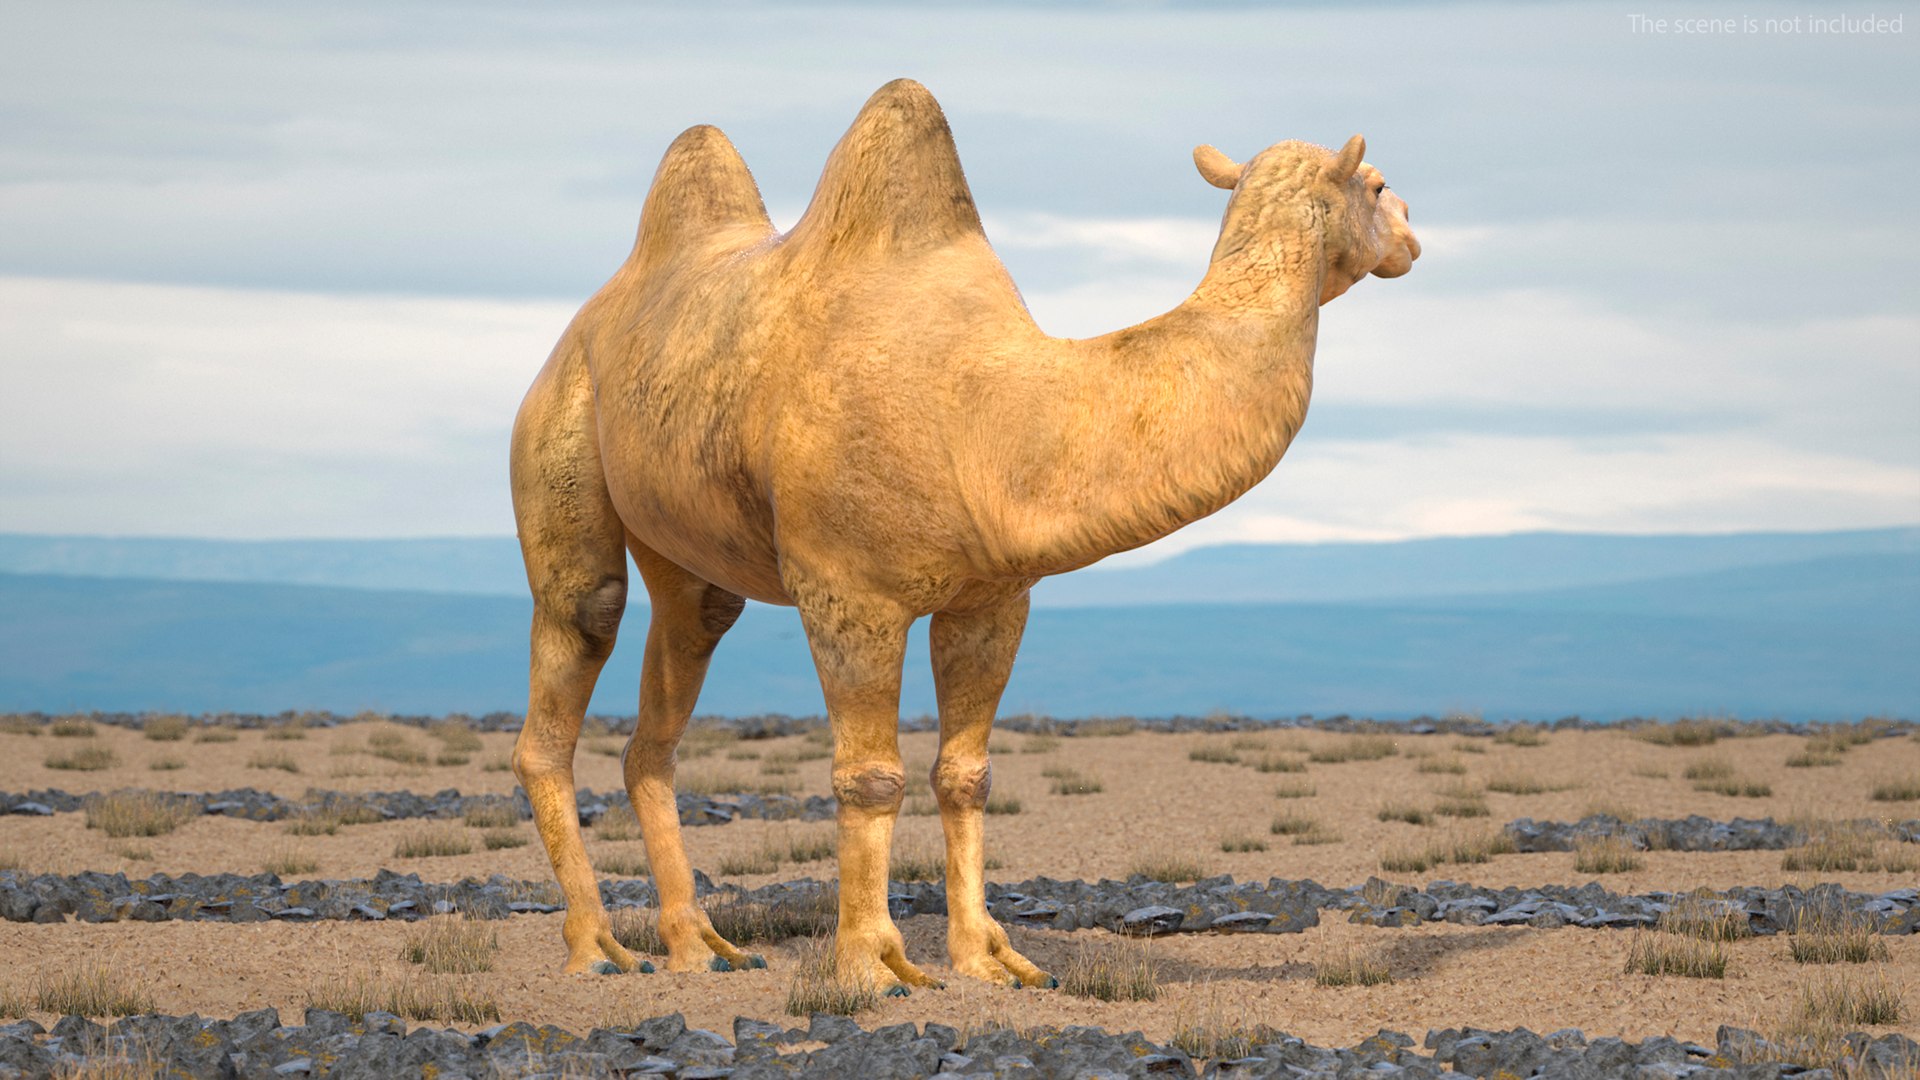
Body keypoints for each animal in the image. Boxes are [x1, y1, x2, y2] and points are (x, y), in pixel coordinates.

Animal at [508, 78, 1419, 994]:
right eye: (1377, 183)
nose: (1414, 231)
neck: (990, 416)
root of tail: (578, 325)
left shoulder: (993, 598)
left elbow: (966, 775)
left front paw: (990, 957)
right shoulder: (847, 592)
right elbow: (870, 778)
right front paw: (874, 964)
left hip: (686, 551)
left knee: (667, 695)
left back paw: (699, 945)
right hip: (560, 439)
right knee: (575, 642)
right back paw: (598, 946)